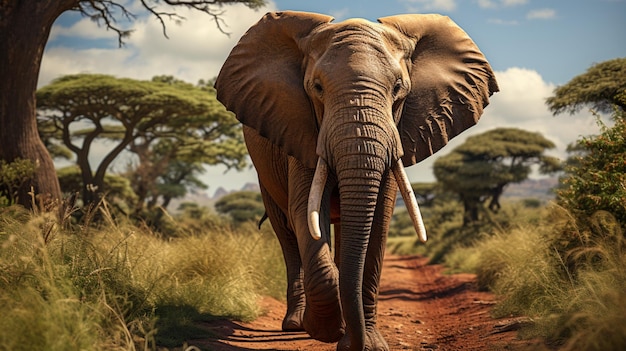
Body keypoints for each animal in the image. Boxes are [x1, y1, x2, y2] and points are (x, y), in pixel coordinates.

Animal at [214, 9, 498, 350]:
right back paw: (296, 323)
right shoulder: (302, 130)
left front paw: (367, 344)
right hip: (265, 172)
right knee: (286, 231)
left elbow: (378, 221)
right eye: (317, 88)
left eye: (398, 89)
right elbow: (305, 212)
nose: (353, 343)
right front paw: (326, 330)